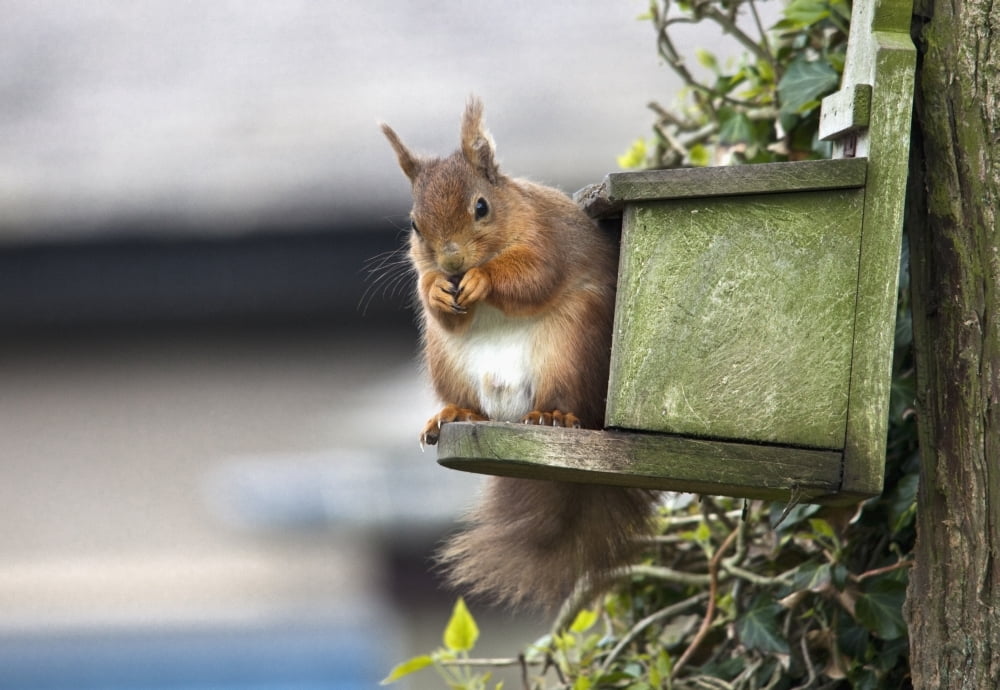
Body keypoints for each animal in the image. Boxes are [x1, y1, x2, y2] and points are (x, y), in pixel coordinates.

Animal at [380, 97, 657, 609]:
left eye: (481, 207)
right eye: (413, 224)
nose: (451, 262)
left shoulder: (546, 241)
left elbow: (532, 276)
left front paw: (482, 279)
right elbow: (433, 295)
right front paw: (436, 289)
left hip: (572, 348)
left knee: (566, 400)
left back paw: (553, 416)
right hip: (447, 362)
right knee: (469, 400)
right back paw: (453, 414)